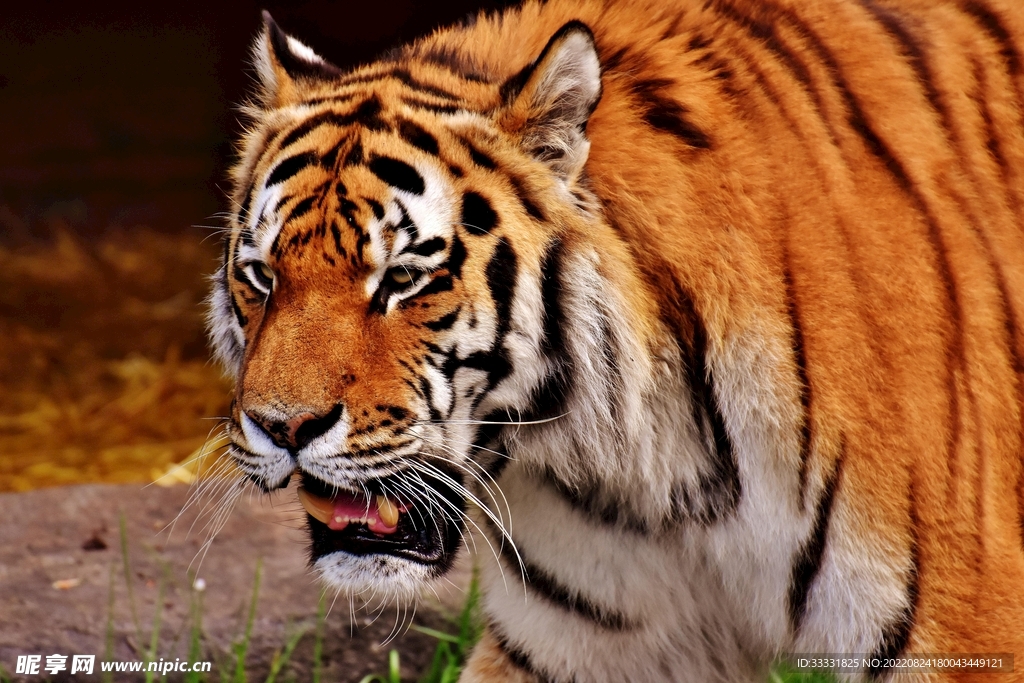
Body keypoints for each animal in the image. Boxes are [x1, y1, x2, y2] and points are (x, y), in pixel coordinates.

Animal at [206, 0, 1024, 680]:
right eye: (262, 276)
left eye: (404, 278)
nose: (283, 429)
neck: (652, 459)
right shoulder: (588, 642)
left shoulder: (965, 630)